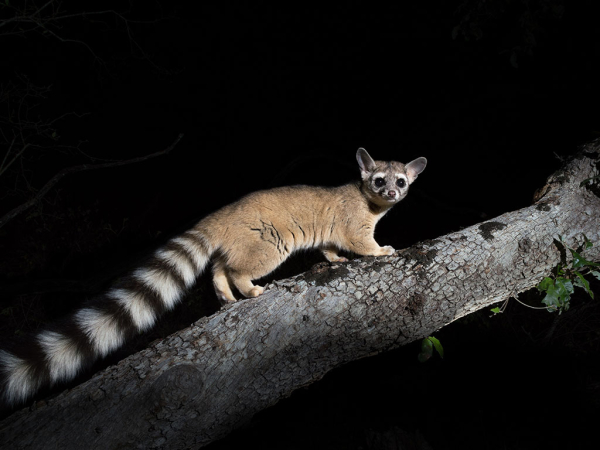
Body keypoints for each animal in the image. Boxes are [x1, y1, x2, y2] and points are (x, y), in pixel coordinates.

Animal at [0, 149, 426, 408]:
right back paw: (245, 286)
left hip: (243, 240)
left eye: (401, 182)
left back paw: (225, 290)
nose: (392, 194)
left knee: (219, 265)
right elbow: (359, 240)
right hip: (267, 241)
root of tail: (222, 214)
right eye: (379, 181)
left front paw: (334, 257)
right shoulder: (354, 220)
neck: (369, 201)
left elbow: (330, 247)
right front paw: (379, 251)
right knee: (239, 266)